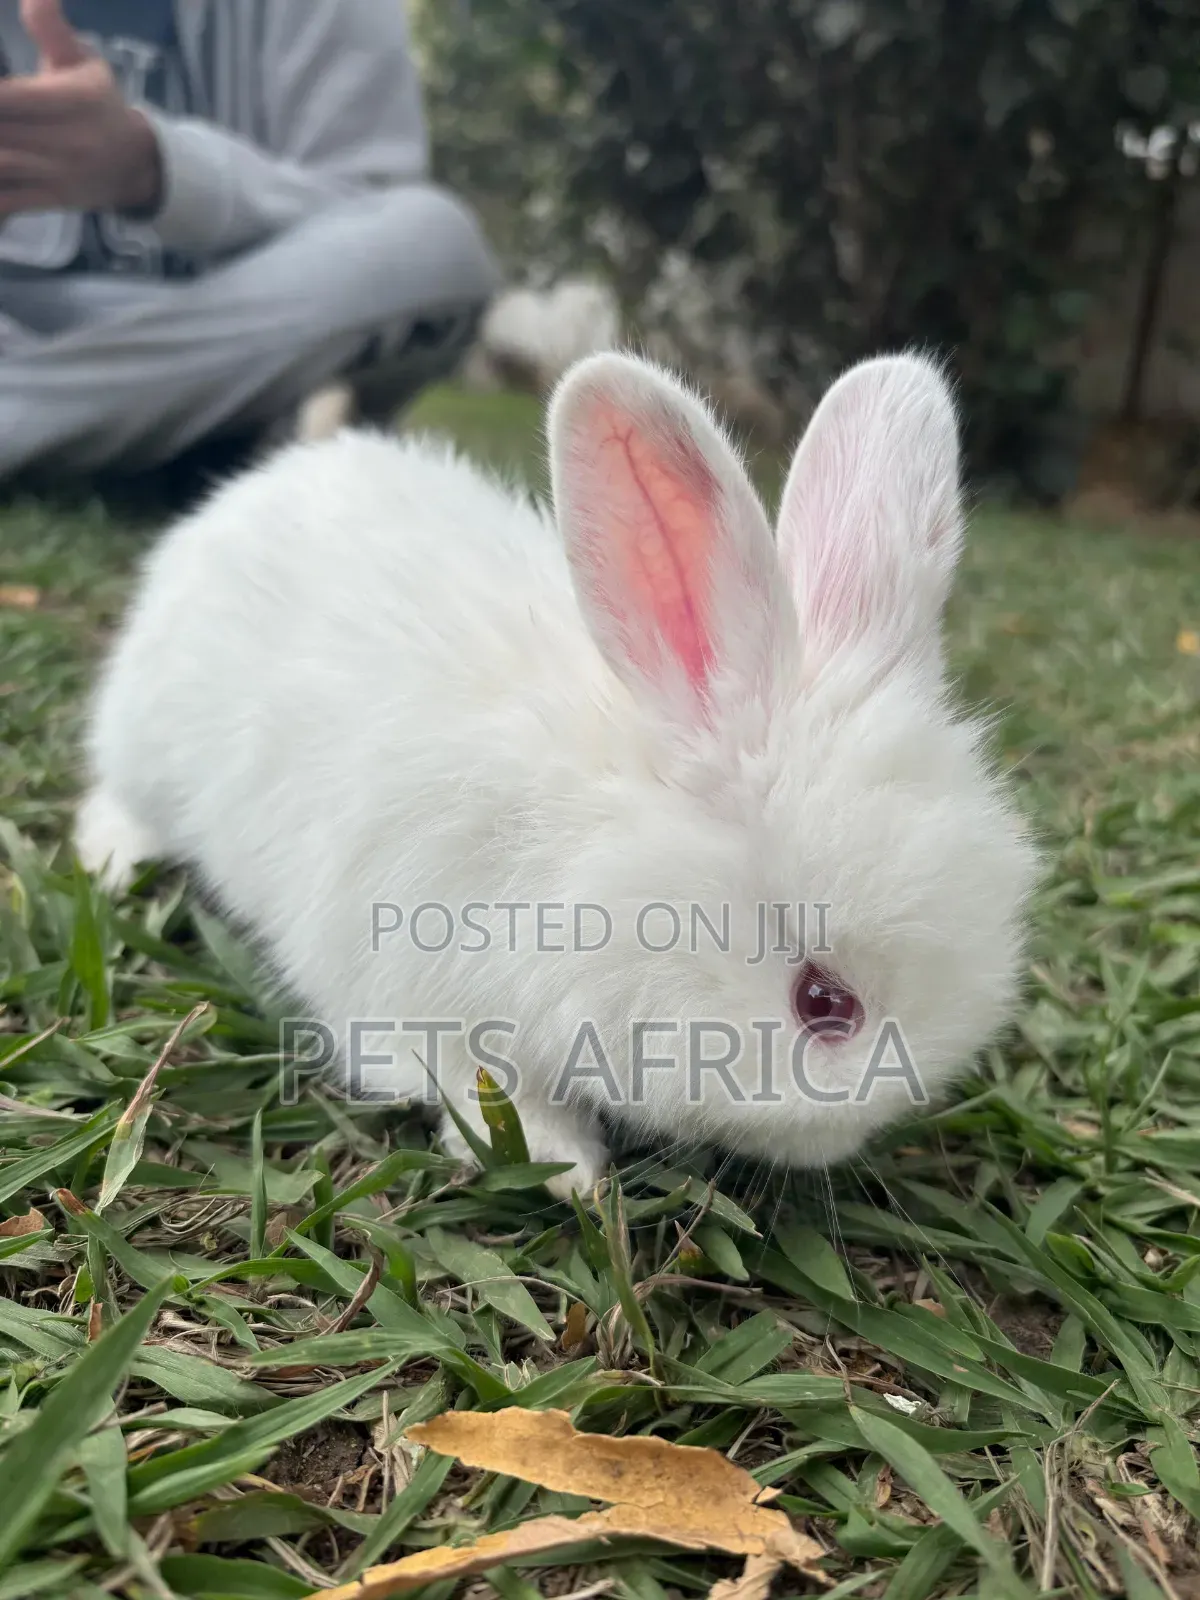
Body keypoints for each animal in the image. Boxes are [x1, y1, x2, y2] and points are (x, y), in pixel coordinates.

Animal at [77, 350, 1037, 1200]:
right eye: (823, 1003)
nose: (846, 1142)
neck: (588, 849)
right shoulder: (415, 991)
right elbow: (481, 1085)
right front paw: (564, 1166)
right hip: (143, 738)